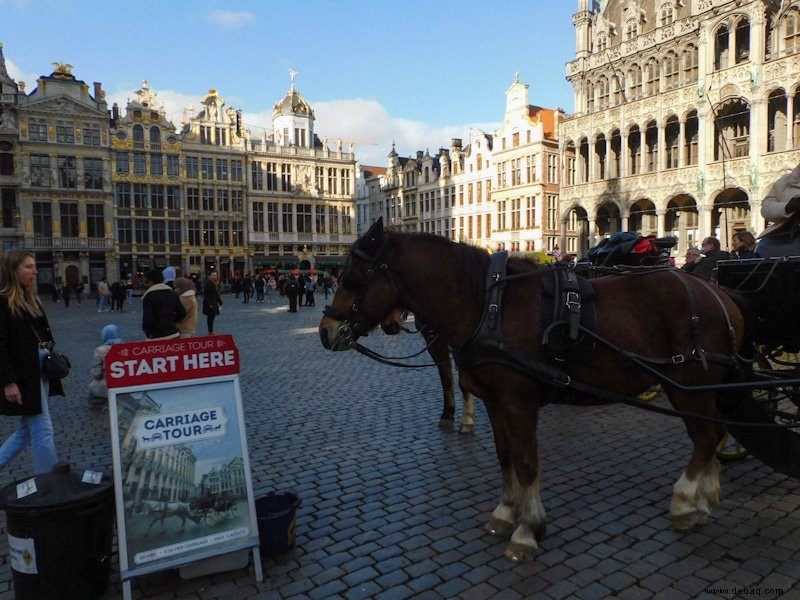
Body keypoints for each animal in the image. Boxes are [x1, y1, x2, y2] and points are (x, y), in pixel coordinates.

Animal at [320, 218, 752, 560]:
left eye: (350, 278)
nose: (325, 331)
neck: (488, 306)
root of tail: (718, 292)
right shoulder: (495, 402)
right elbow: (505, 457)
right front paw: (505, 513)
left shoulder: (518, 402)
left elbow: (527, 462)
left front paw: (529, 530)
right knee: (712, 433)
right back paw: (705, 496)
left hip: (690, 385)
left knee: (706, 435)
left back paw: (684, 502)